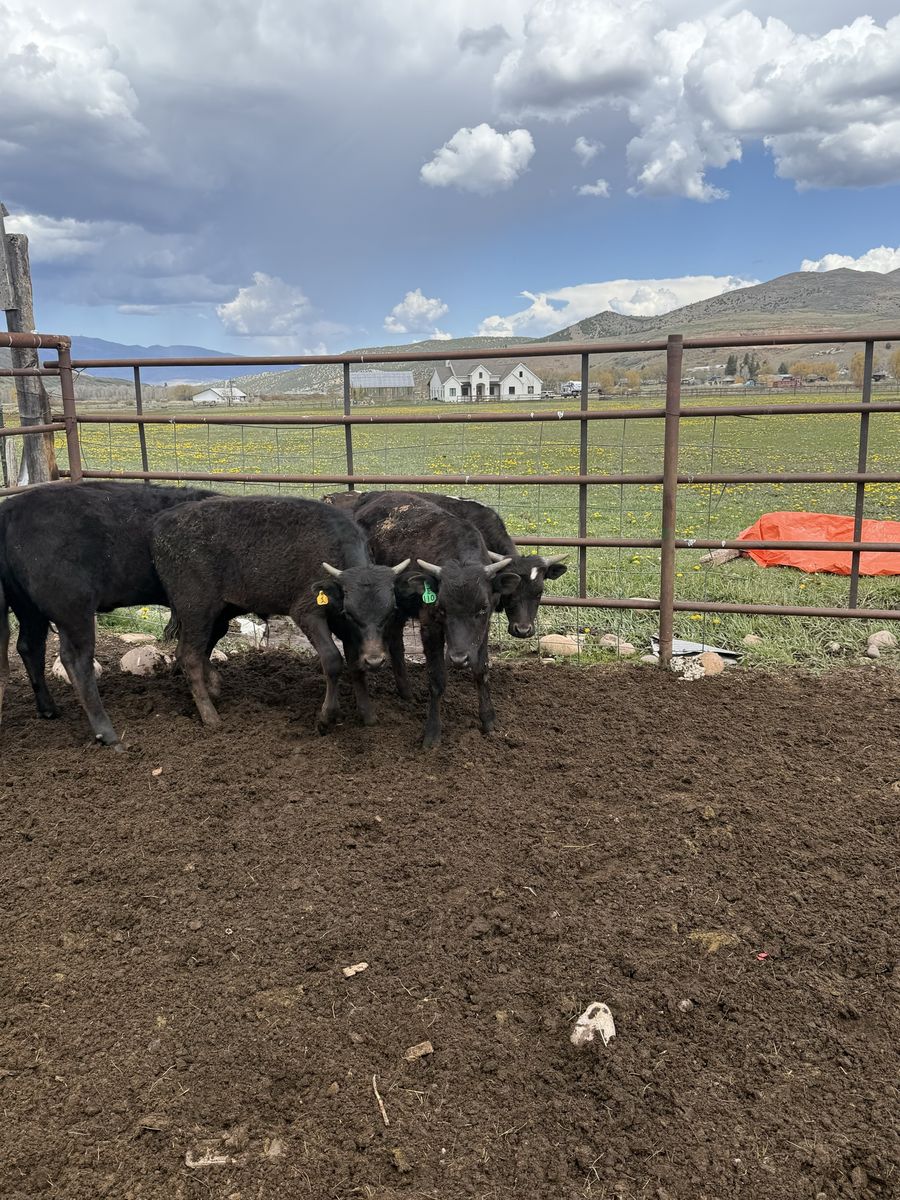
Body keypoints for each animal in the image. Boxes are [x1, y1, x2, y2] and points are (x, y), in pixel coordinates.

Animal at [0, 480, 218, 748]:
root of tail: (12, 507)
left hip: (28, 608)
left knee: (30, 647)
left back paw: (49, 709)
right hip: (73, 608)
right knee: (76, 660)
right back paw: (108, 734)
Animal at [150, 496, 408, 733]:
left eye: (390, 613)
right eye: (350, 613)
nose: (375, 660)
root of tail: (162, 522)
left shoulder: (346, 628)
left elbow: (356, 666)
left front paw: (368, 714)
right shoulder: (307, 613)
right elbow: (332, 660)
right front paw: (327, 716)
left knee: (186, 651)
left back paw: (214, 687)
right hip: (197, 610)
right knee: (190, 656)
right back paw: (211, 717)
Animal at [351, 491, 519, 748]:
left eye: (482, 609)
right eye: (442, 609)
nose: (459, 659)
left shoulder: (483, 629)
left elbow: (481, 670)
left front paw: (488, 719)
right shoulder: (429, 626)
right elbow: (438, 679)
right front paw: (432, 733)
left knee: (395, 640)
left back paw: (406, 693)